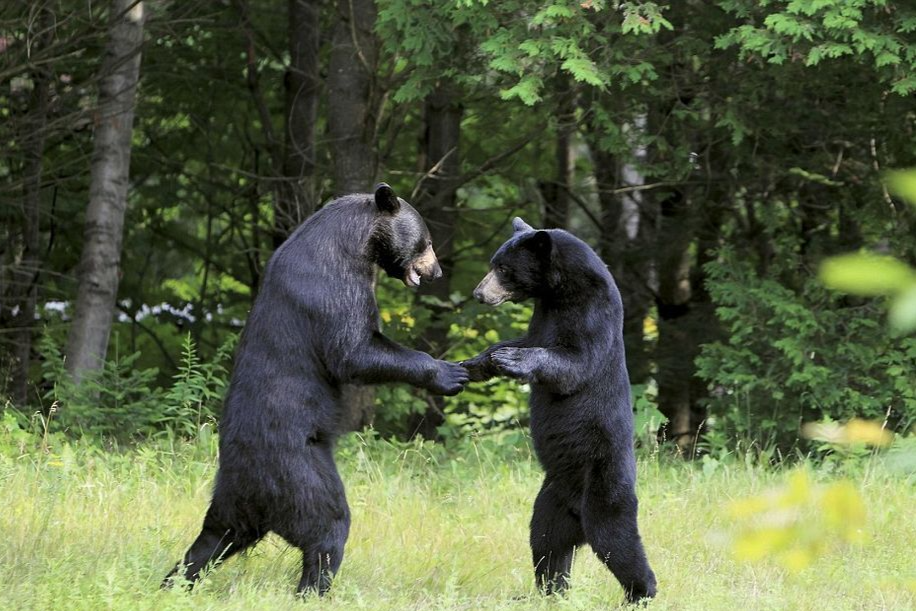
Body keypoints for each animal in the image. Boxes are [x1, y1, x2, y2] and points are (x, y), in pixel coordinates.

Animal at [162, 184, 468, 596]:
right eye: (428, 241)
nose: (435, 271)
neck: (356, 242)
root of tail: (252, 491)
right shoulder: (332, 282)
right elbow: (354, 350)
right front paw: (448, 373)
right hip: (299, 473)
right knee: (328, 525)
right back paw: (313, 589)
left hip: (231, 497)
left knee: (212, 539)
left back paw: (172, 582)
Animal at [466, 219, 660, 604]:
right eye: (495, 263)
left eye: (503, 268)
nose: (479, 294)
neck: (559, 292)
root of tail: (577, 518)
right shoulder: (543, 315)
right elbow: (525, 339)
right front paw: (481, 361)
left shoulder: (592, 314)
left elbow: (574, 361)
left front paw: (512, 359)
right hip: (551, 499)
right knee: (546, 544)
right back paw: (549, 591)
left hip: (604, 487)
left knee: (617, 541)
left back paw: (640, 593)